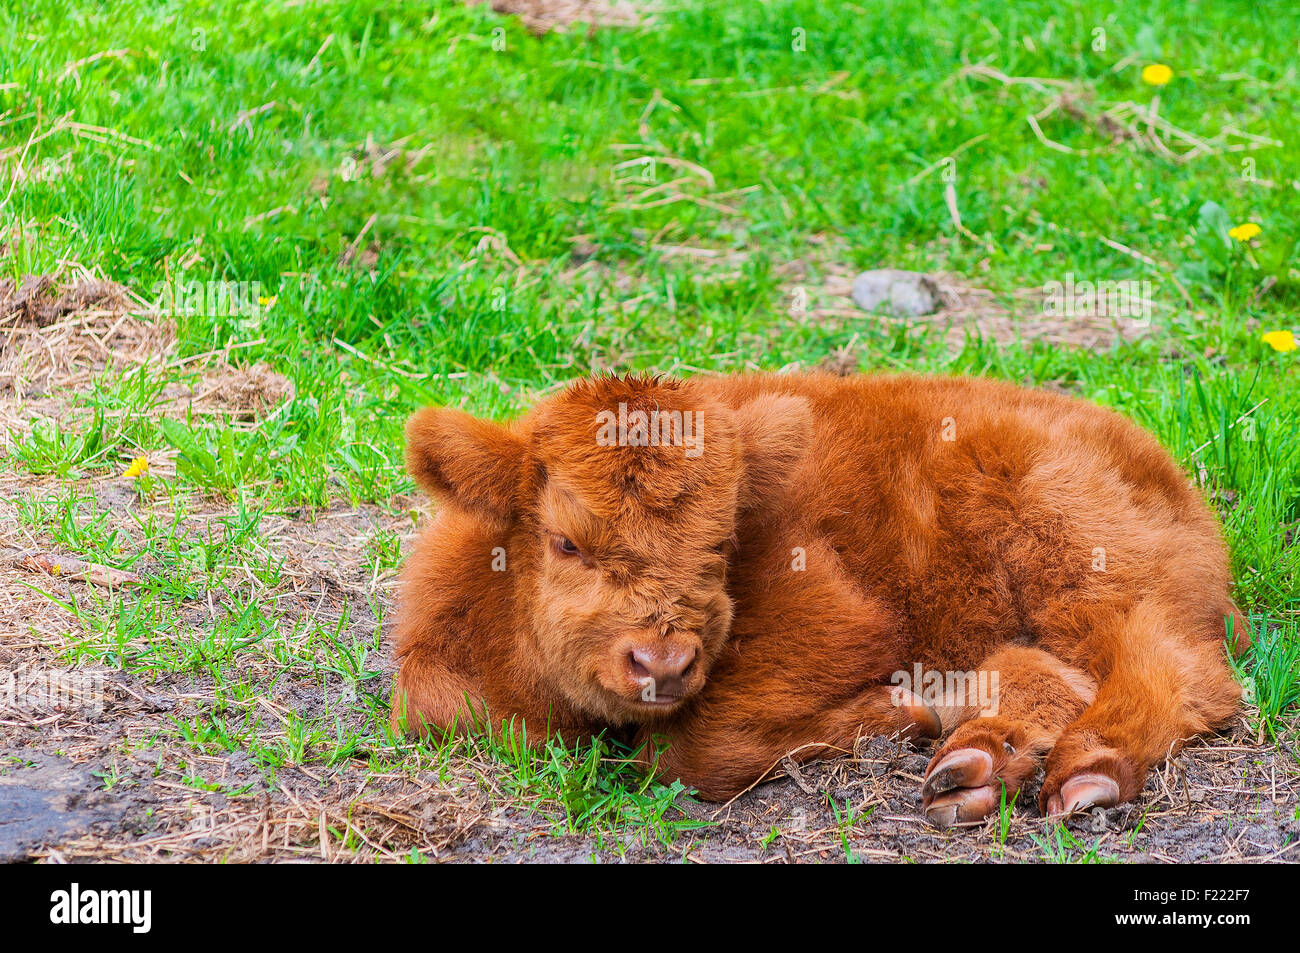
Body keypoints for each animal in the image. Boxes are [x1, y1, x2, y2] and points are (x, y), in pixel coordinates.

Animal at [387, 374, 1248, 826]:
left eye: (721, 545)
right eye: (566, 542)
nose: (661, 660)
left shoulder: (840, 622)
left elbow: (695, 749)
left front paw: (898, 709)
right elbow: (445, 708)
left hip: (1081, 555)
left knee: (1175, 670)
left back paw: (1087, 770)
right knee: (1060, 670)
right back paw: (977, 763)